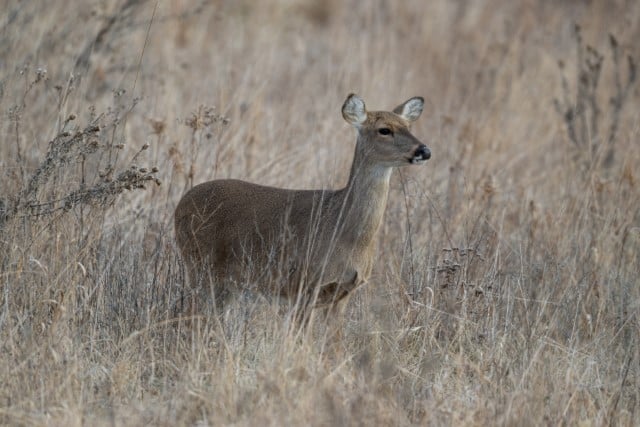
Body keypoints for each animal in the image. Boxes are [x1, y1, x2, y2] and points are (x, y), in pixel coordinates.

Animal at [174, 93, 430, 324]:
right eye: (384, 130)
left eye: (408, 126)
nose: (424, 150)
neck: (346, 231)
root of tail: (180, 204)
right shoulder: (303, 286)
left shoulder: (342, 294)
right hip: (198, 265)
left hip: (227, 284)